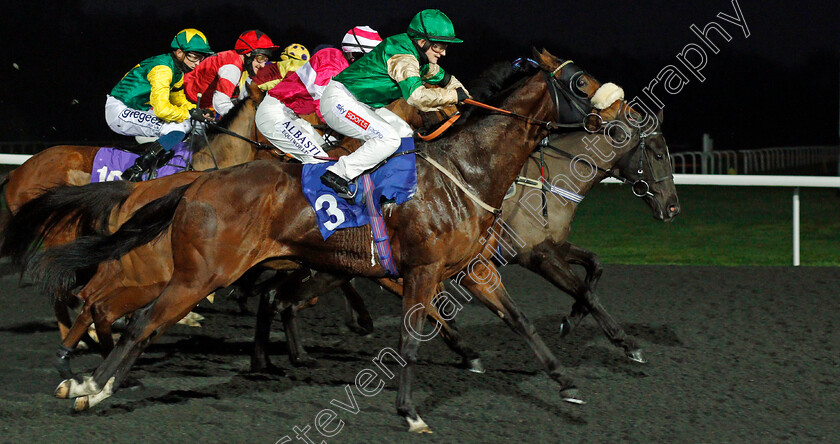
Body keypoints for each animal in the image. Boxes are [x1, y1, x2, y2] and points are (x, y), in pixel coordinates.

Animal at [29, 49, 616, 430]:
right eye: (582, 84)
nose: (619, 117)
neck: (464, 173)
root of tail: (198, 182)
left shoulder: (473, 268)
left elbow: (519, 320)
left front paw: (566, 383)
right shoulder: (422, 271)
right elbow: (410, 339)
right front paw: (410, 411)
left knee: (128, 314)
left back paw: (87, 377)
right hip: (199, 273)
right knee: (135, 318)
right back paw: (90, 386)